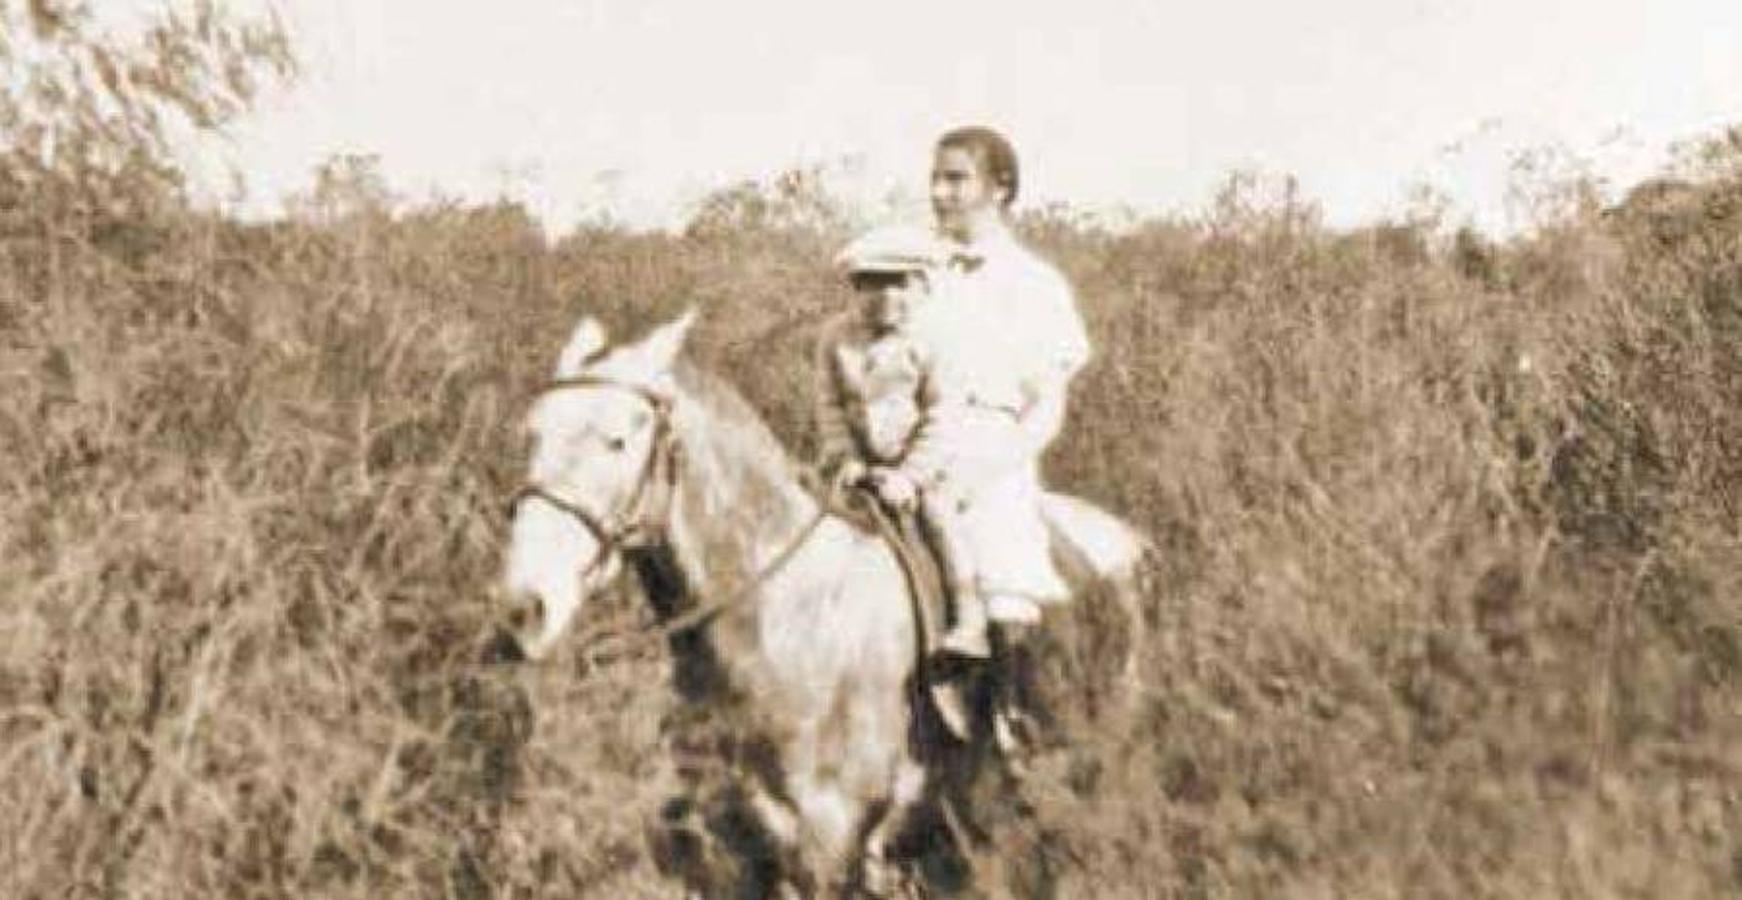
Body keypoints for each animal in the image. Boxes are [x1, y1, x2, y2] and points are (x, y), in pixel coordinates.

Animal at [498, 308, 1149, 891]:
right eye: (531, 433)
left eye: (617, 441)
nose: (523, 610)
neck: (783, 623)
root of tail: (1126, 538)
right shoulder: (735, 852)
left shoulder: (828, 848)